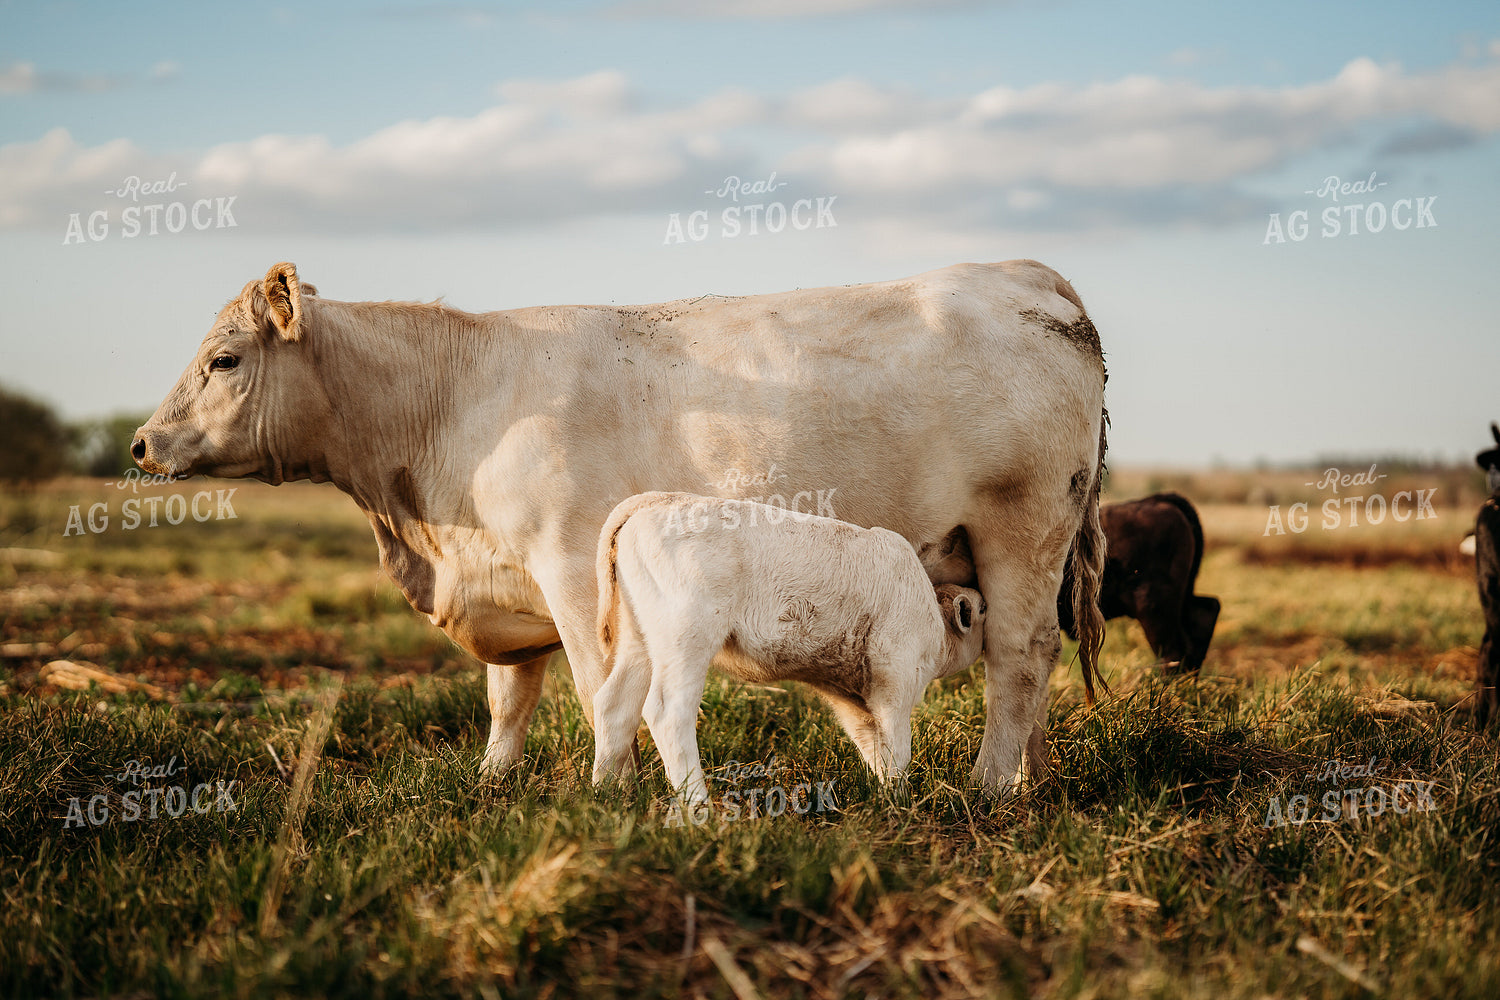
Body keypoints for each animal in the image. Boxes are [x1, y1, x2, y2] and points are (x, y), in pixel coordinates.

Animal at [590, 492, 987, 805]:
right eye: (983, 609)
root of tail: (656, 500)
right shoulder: (895, 676)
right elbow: (896, 745)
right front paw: (901, 801)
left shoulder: (851, 694)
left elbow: (873, 743)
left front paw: (886, 797)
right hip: (686, 636)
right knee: (668, 712)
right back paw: (698, 806)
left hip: (640, 641)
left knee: (614, 705)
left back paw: (604, 794)